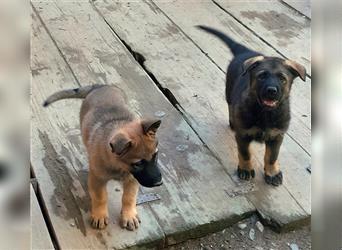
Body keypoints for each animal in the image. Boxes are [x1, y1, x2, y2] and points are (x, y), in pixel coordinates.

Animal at [43, 84, 162, 230]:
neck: (119, 167)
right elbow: (100, 198)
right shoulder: (98, 179)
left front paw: (129, 215)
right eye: (138, 163)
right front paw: (100, 215)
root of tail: (101, 86)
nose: (159, 183)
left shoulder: (132, 179)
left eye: (156, 155)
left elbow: (129, 197)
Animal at [198, 25, 308, 186]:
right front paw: (245, 169)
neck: (265, 113)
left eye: (282, 79)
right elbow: (245, 154)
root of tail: (245, 51)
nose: (271, 91)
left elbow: (272, 156)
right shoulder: (243, 135)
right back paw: (232, 121)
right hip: (229, 90)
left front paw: (272, 172)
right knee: (230, 105)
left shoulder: (277, 136)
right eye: (262, 76)